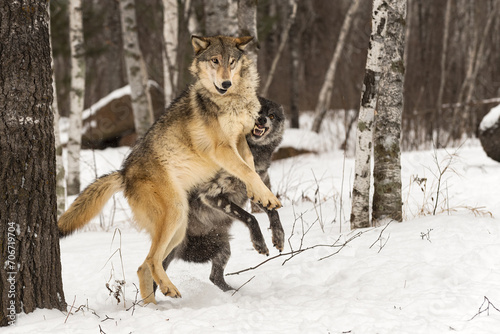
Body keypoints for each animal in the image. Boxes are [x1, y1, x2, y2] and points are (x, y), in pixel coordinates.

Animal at [158, 95, 288, 290]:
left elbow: (273, 212)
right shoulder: (211, 195)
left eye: (271, 115)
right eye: (257, 110)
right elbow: (251, 217)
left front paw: (279, 237)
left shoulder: (257, 192)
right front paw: (259, 242)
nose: (261, 119)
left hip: (224, 246)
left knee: (215, 277)